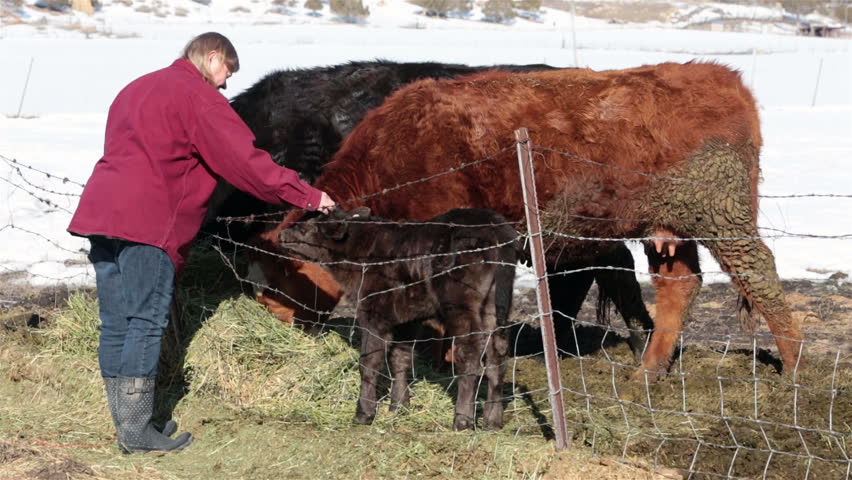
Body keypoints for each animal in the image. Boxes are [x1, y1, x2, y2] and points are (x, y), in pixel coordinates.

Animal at [264, 61, 804, 380]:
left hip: (721, 215)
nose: (275, 324)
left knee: (760, 274)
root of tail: (719, 75)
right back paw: (647, 374)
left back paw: (794, 366)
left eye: (277, 277)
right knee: (679, 286)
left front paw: (452, 367)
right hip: (666, 227)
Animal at [278, 207, 520, 430]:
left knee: (469, 354)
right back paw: (492, 420)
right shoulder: (406, 318)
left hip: (461, 306)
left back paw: (462, 420)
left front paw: (364, 414)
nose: (281, 234)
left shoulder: (374, 312)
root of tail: (495, 226)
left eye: (303, 228)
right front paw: (399, 407)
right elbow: (400, 358)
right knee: (497, 357)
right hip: (495, 308)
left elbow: (370, 362)